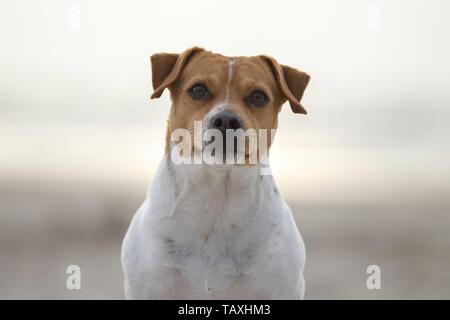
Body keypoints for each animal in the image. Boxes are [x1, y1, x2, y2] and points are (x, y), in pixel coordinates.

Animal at [121, 47, 312, 300]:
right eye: (198, 90)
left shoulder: (281, 288)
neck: (216, 197)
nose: (227, 120)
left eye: (258, 96)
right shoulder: (147, 286)